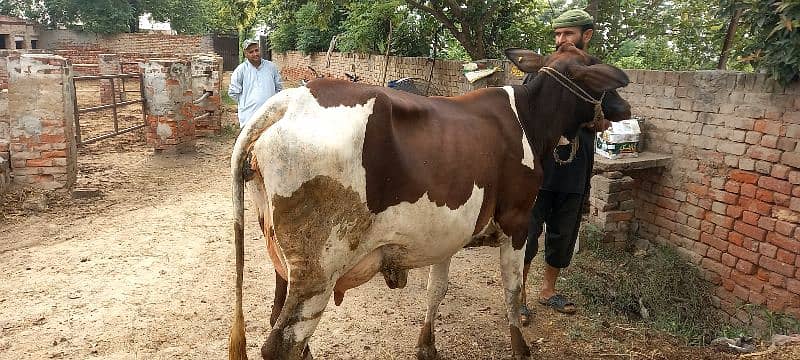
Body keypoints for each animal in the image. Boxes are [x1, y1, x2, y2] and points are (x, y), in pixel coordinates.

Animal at [227, 44, 632, 360]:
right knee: (282, 344)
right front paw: (520, 347)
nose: (625, 107)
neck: (528, 121)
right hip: (319, 269)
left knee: (278, 319)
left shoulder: (448, 233)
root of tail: (288, 101)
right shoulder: (518, 221)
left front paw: (427, 345)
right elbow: (512, 289)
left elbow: (436, 290)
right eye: (597, 71)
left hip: (282, 258)